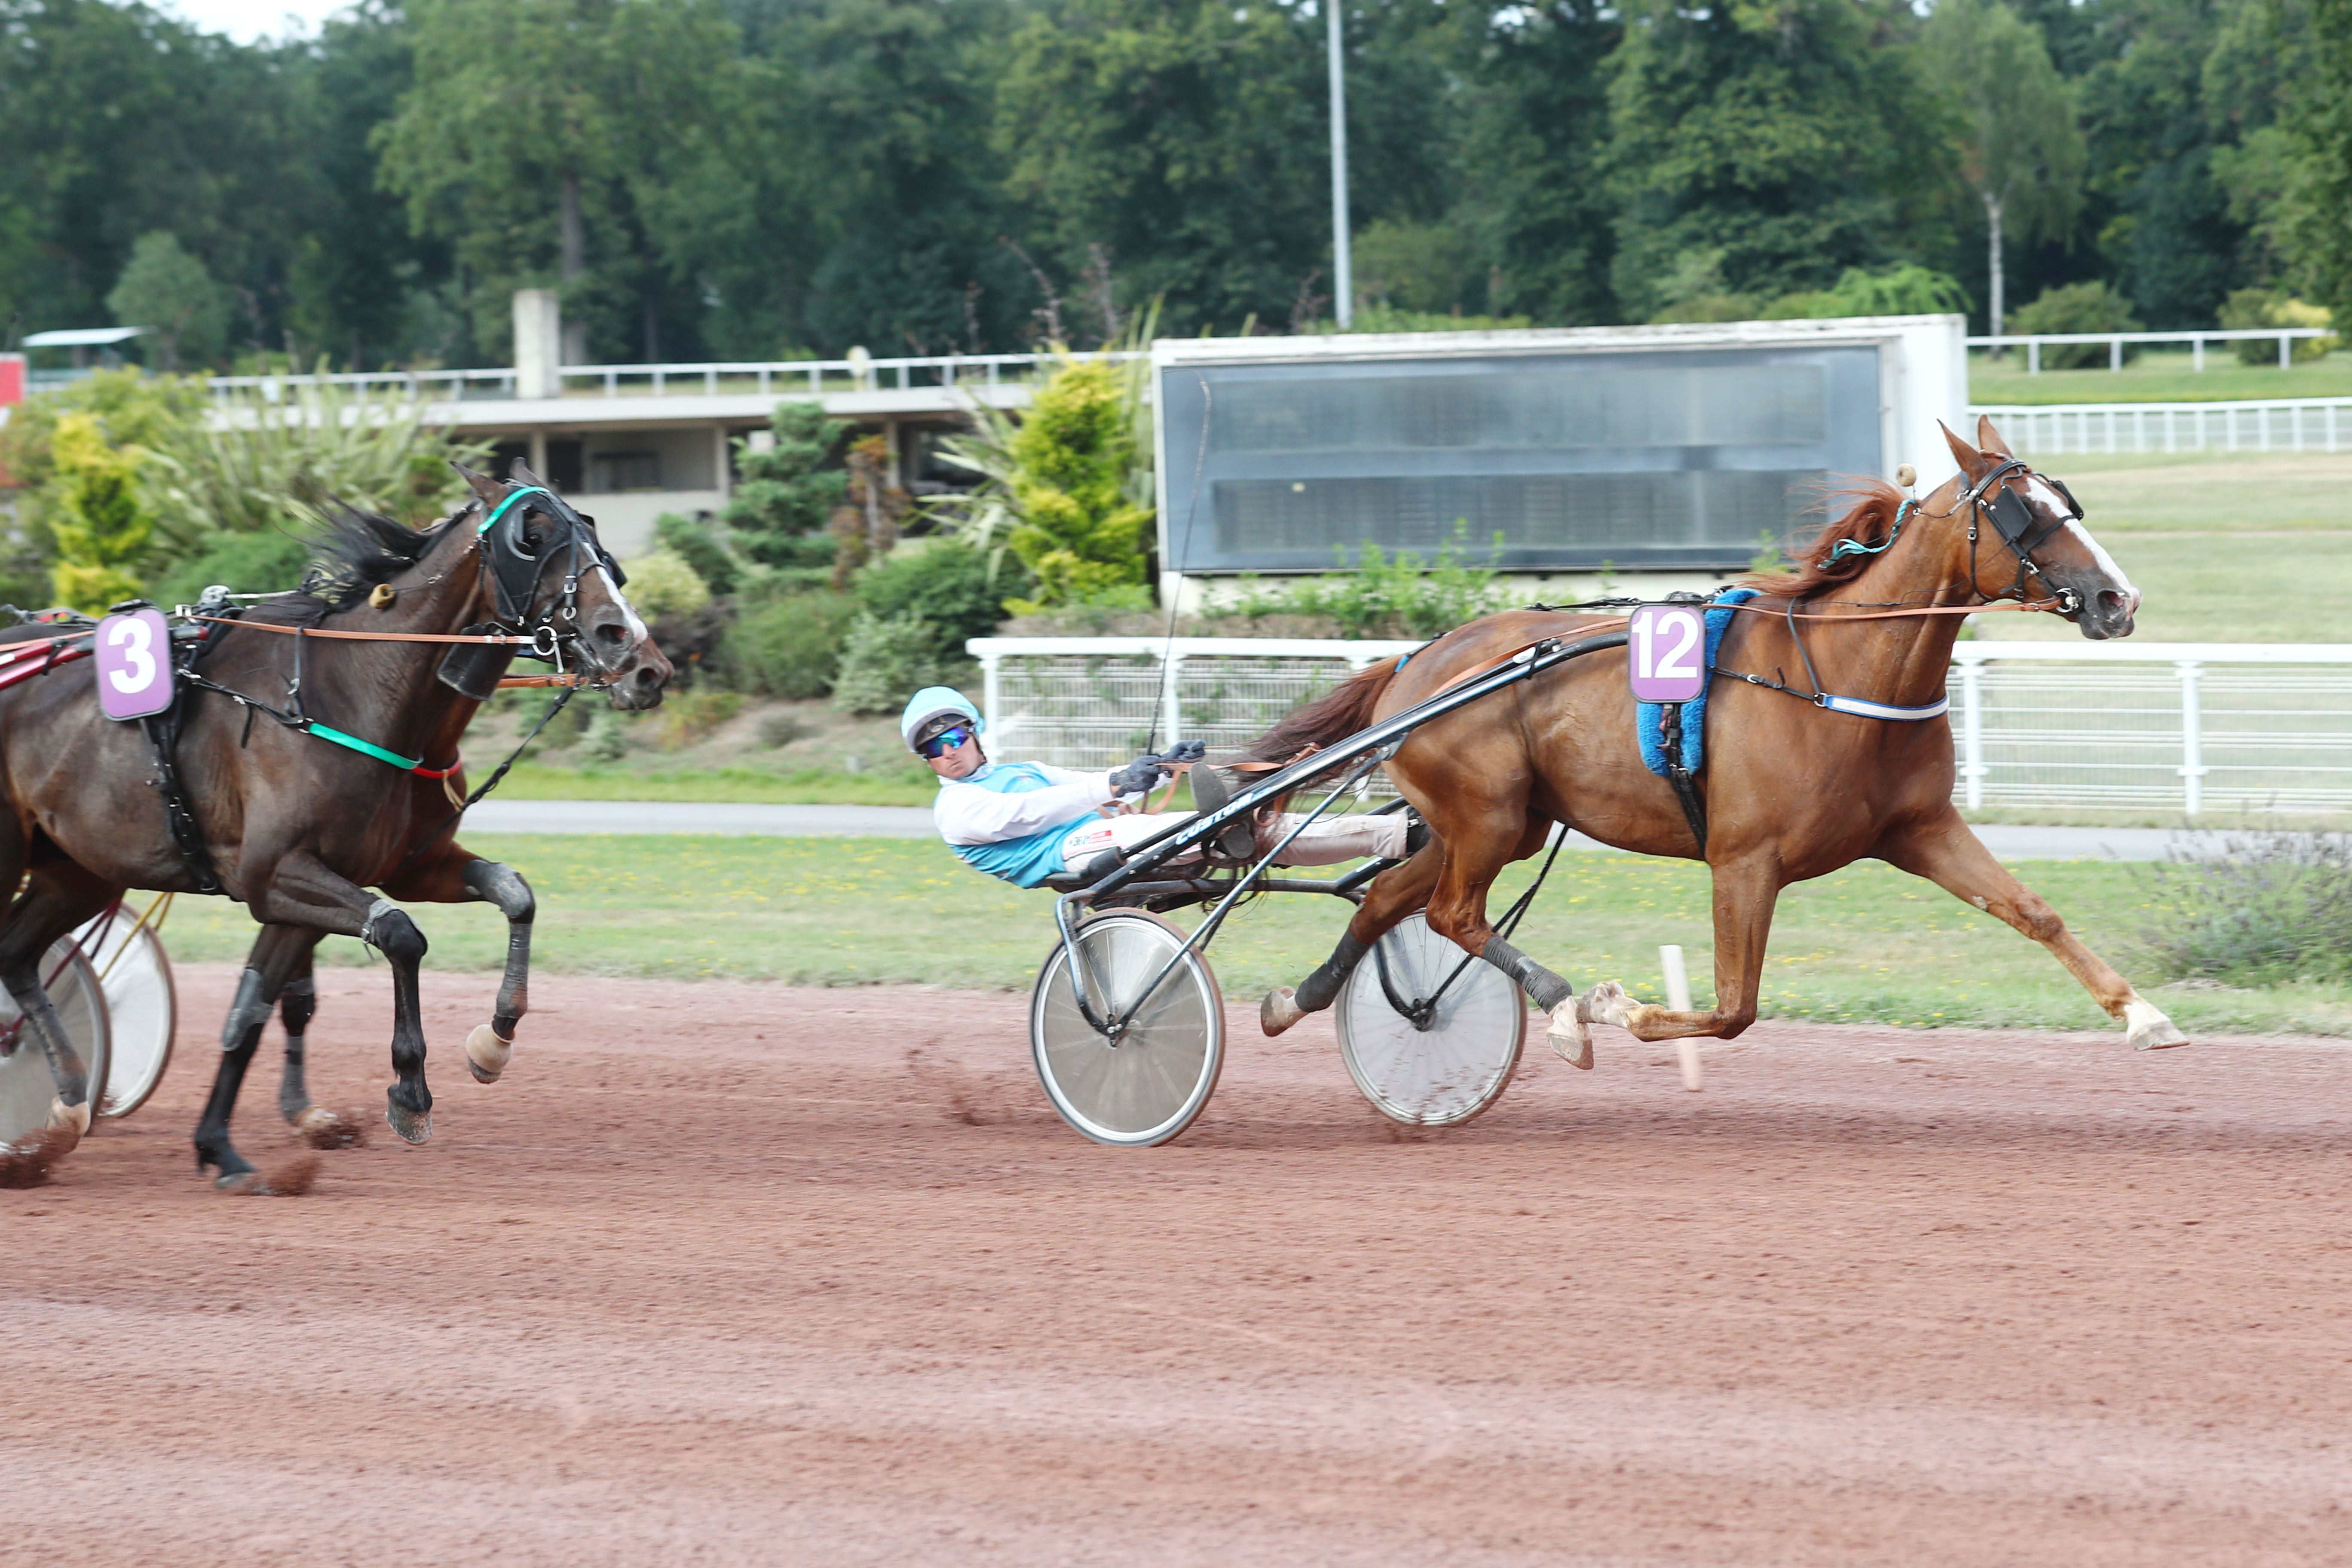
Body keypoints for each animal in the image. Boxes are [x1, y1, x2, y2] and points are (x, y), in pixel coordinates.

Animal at [1260, 416, 2192, 1063]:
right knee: (1451, 913)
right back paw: (1562, 1006)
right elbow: (1735, 1007)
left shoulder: (1921, 828)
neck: (1841, 675)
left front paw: (2144, 1015)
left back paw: (1294, 999)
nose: (2119, 599)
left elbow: (2033, 910)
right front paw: (1615, 1005)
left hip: (1505, 824)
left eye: (2066, 503)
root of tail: (1413, 661)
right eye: (2019, 514)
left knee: (1390, 898)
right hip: (1484, 817)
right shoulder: (1745, 859)